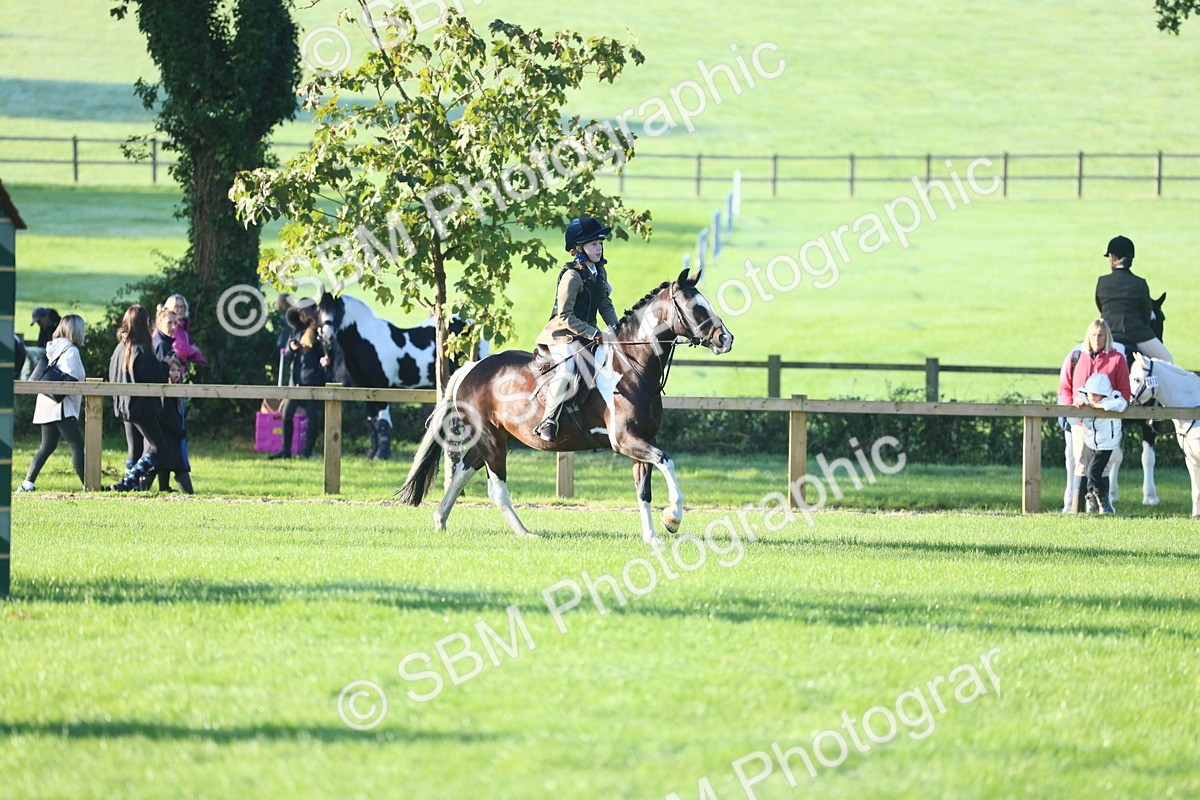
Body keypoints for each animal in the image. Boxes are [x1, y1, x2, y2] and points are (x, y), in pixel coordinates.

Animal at [315, 292, 481, 460]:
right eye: (319, 309)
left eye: (337, 309)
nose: (325, 336)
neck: (368, 340)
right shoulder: (366, 389)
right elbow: (372, 423)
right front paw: (372, 453)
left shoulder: (381, 387)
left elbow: (383, 423)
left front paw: (381, 455)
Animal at [398, 268, 734, 543]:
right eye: (697, 307)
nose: (725, 339)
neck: (632, 367)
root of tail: (472, 368)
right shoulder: (625, 441)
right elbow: (667, 461)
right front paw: (673, 518)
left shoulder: (643, 440)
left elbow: (644, 489)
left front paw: (652, 536)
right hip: (492, 441)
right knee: (496, 489)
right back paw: (525, 532)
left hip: (493, 439)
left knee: (462, 472)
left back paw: (440, 520)